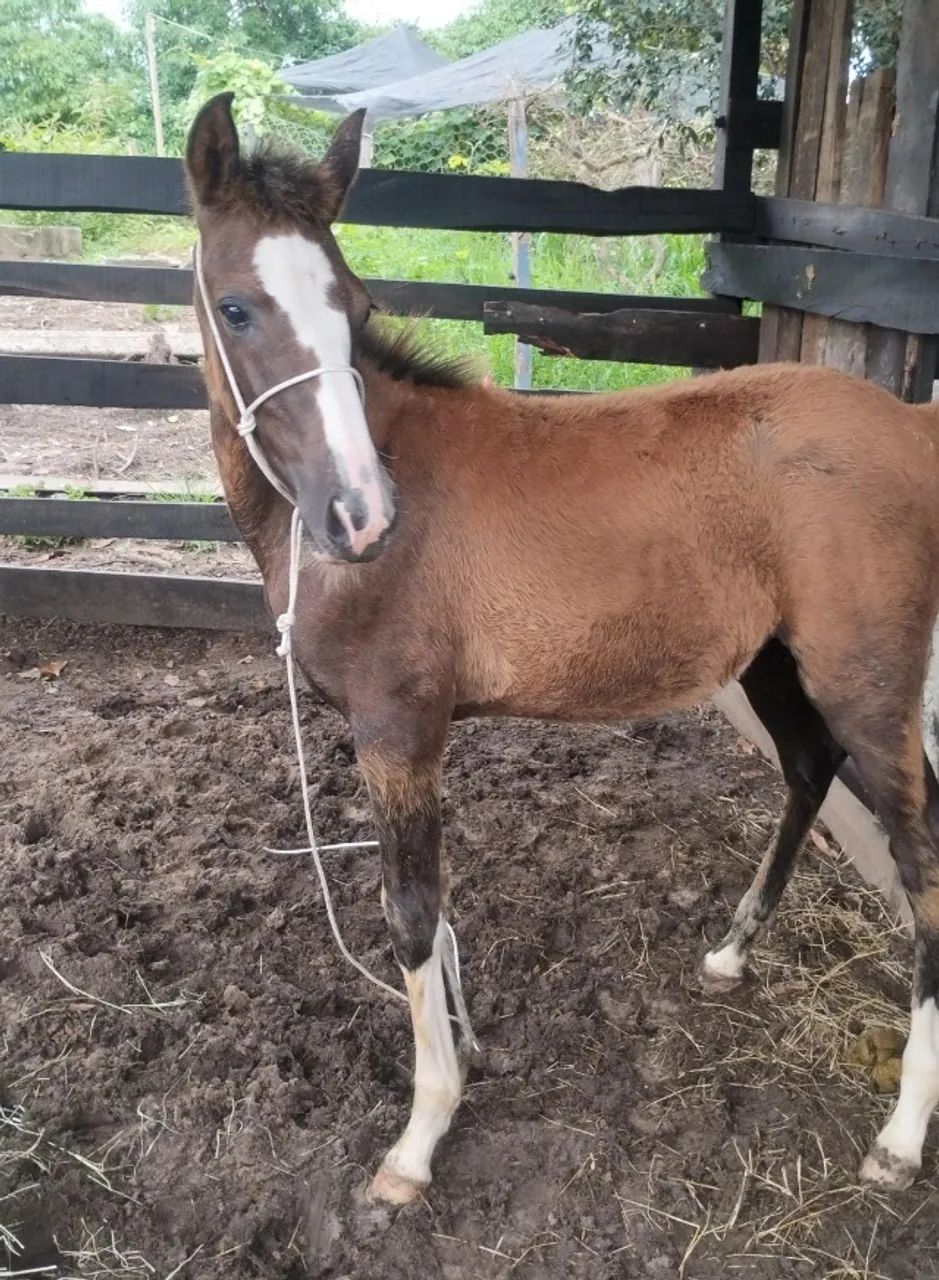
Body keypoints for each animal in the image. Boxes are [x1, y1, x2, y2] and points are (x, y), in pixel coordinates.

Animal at [186, 92, 939, 1204]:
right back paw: (729, 953)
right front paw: (468, 1056)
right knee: (808, 766)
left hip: (869, 682)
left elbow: (411, 914)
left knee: (921, 861)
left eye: (353, 304)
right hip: (774, 661)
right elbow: (438, 909)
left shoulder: (397, 727)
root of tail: (913, 427)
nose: (360, 515)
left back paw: (900, 1133)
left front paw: (418, 1139)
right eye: (237, 308)